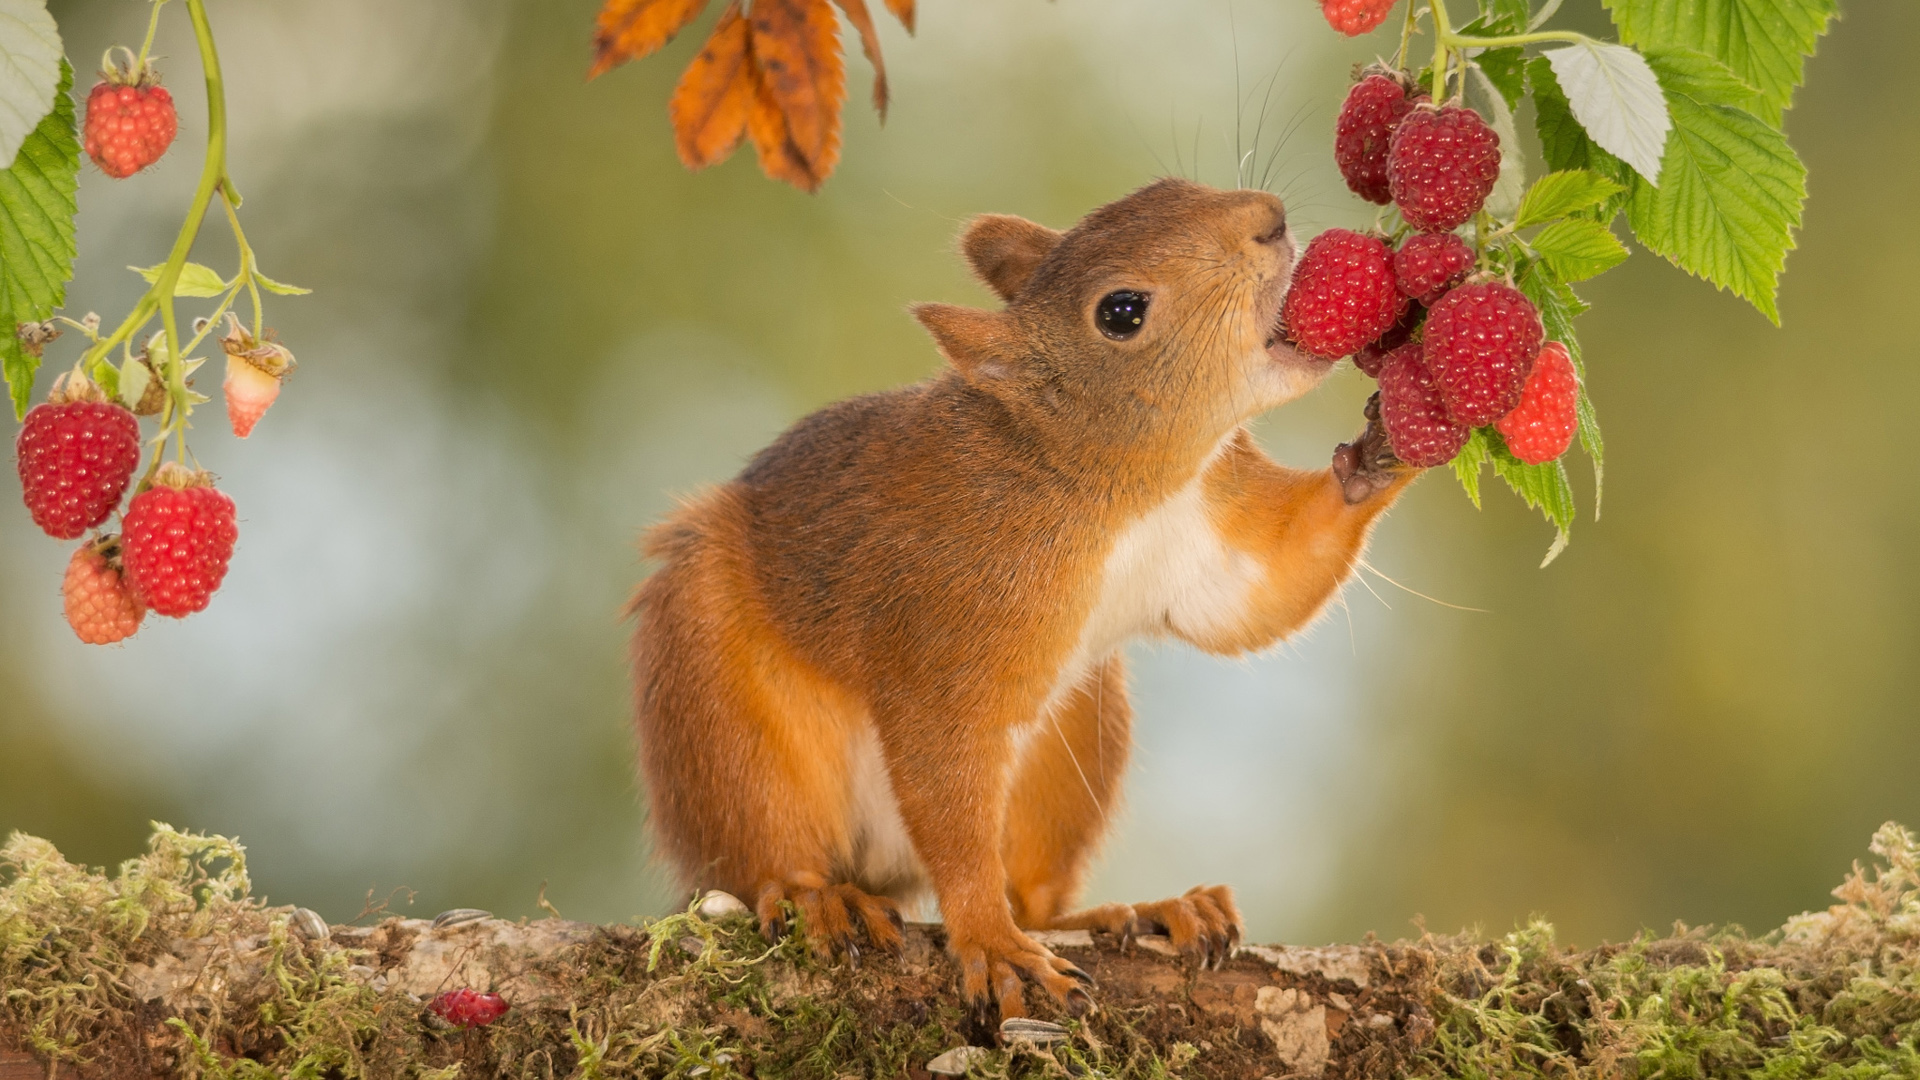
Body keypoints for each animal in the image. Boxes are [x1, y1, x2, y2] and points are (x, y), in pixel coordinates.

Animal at [625, 176, 1413, 1014]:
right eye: (1121, 312)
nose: (1269, 219)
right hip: (720, 709)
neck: (1118, 492)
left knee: (1036, 896)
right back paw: (817, 896)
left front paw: (1388, 445)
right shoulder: (945, 624)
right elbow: (947, 782)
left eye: (1169, 187)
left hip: (1076, 738)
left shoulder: (1210, 531)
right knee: (761, 852)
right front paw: (989, 942)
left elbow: (1265, 591)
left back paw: (1148, 909)